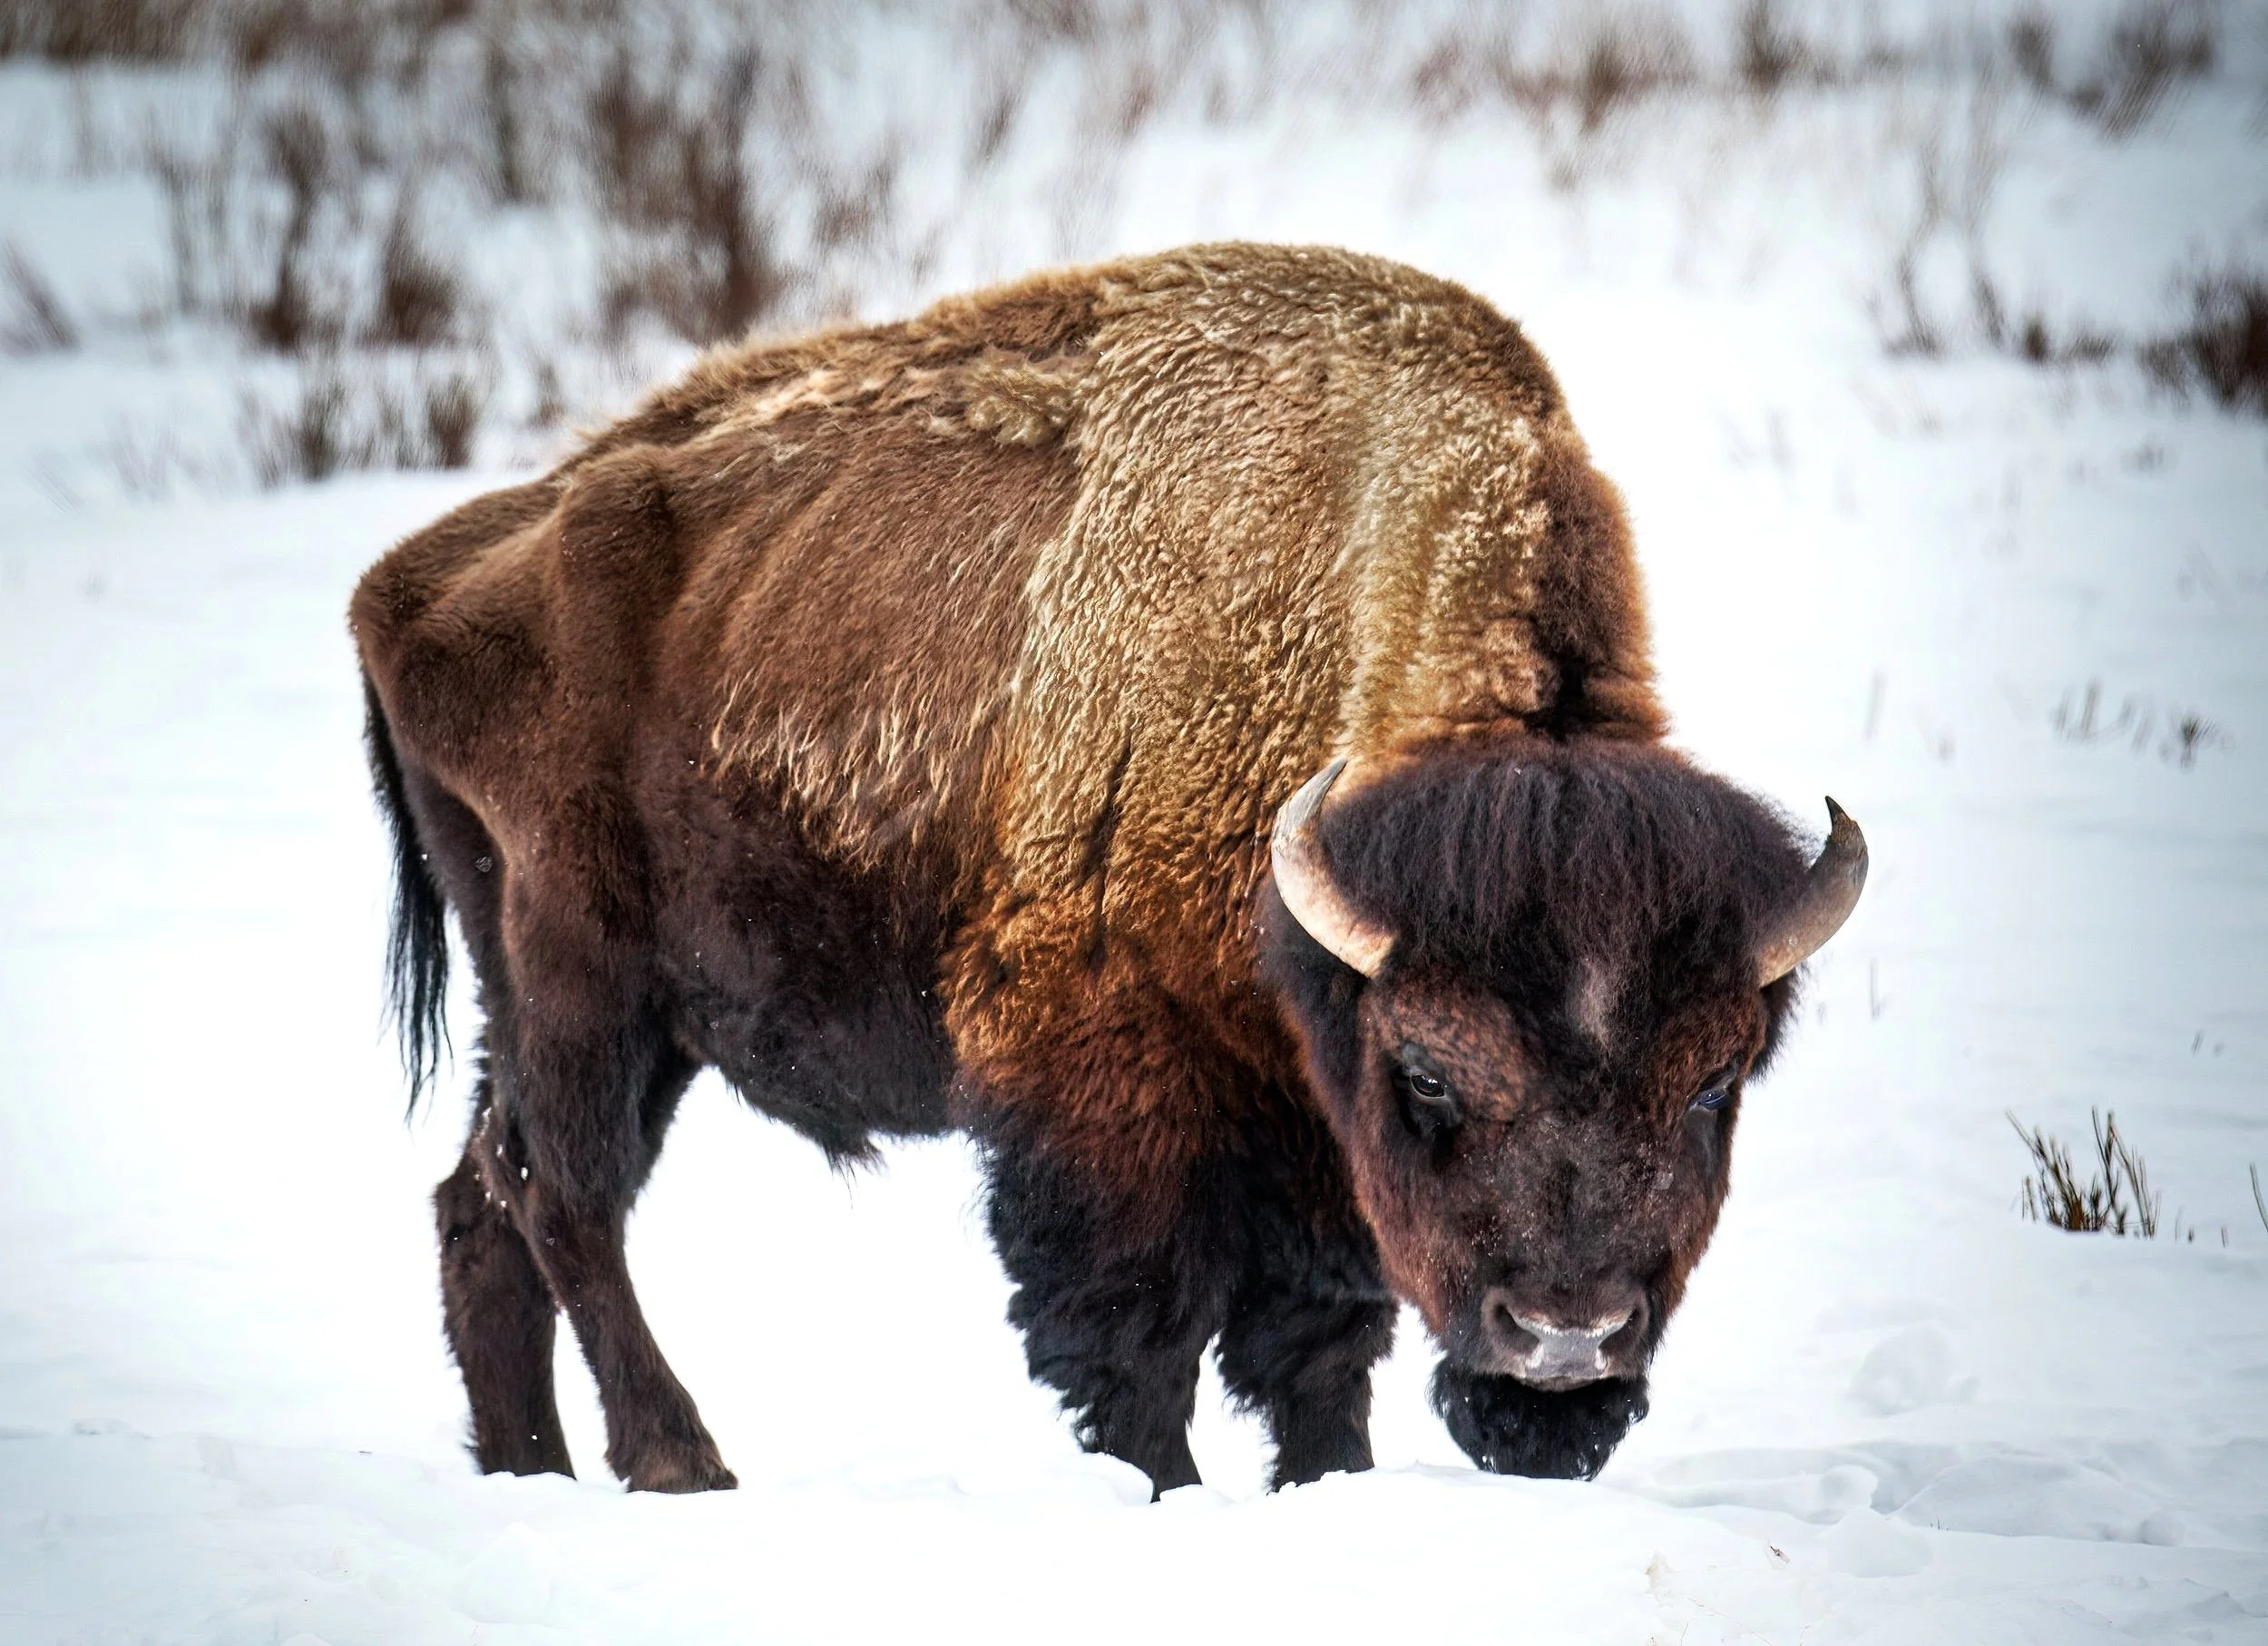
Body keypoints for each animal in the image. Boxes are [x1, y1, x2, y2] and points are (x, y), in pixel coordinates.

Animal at [351, 243, 1865, 1497]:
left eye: (1714, 1080)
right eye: (1433, 1072)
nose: (1566, 1339)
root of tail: (408, 579)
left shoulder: (1304, 1119)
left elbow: (1317, 1338)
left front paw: (1328, 1484)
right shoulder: (1105, 1079)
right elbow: (1136, 1335)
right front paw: (1166, 1495)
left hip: (593, 1009)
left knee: (478, 1203)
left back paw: (529, 1470)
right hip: (579, 980)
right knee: (563, 1197)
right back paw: (680, 1462)